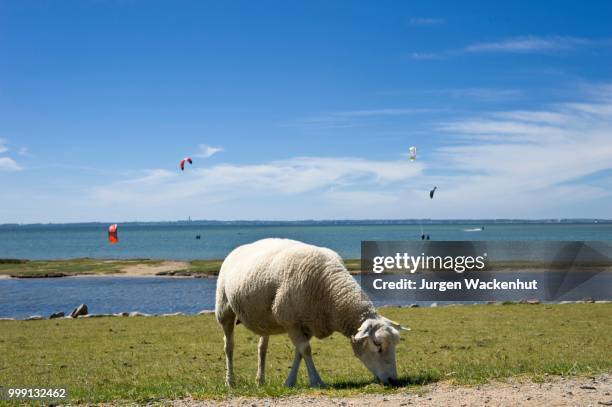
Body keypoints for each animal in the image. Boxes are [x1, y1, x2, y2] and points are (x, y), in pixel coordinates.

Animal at [215, 239, 406, 388]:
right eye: (377, 344)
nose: (393, 381)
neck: (330, 292)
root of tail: (239, 248)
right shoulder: (291, 321)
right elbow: (306, 350)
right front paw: (316, 381)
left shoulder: (309, 323)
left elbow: (299, 352)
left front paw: (290, 382)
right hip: (224, 309)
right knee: (228, 346)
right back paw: (230, 382)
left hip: (264, 318)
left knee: (262, 348)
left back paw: (260, 381)